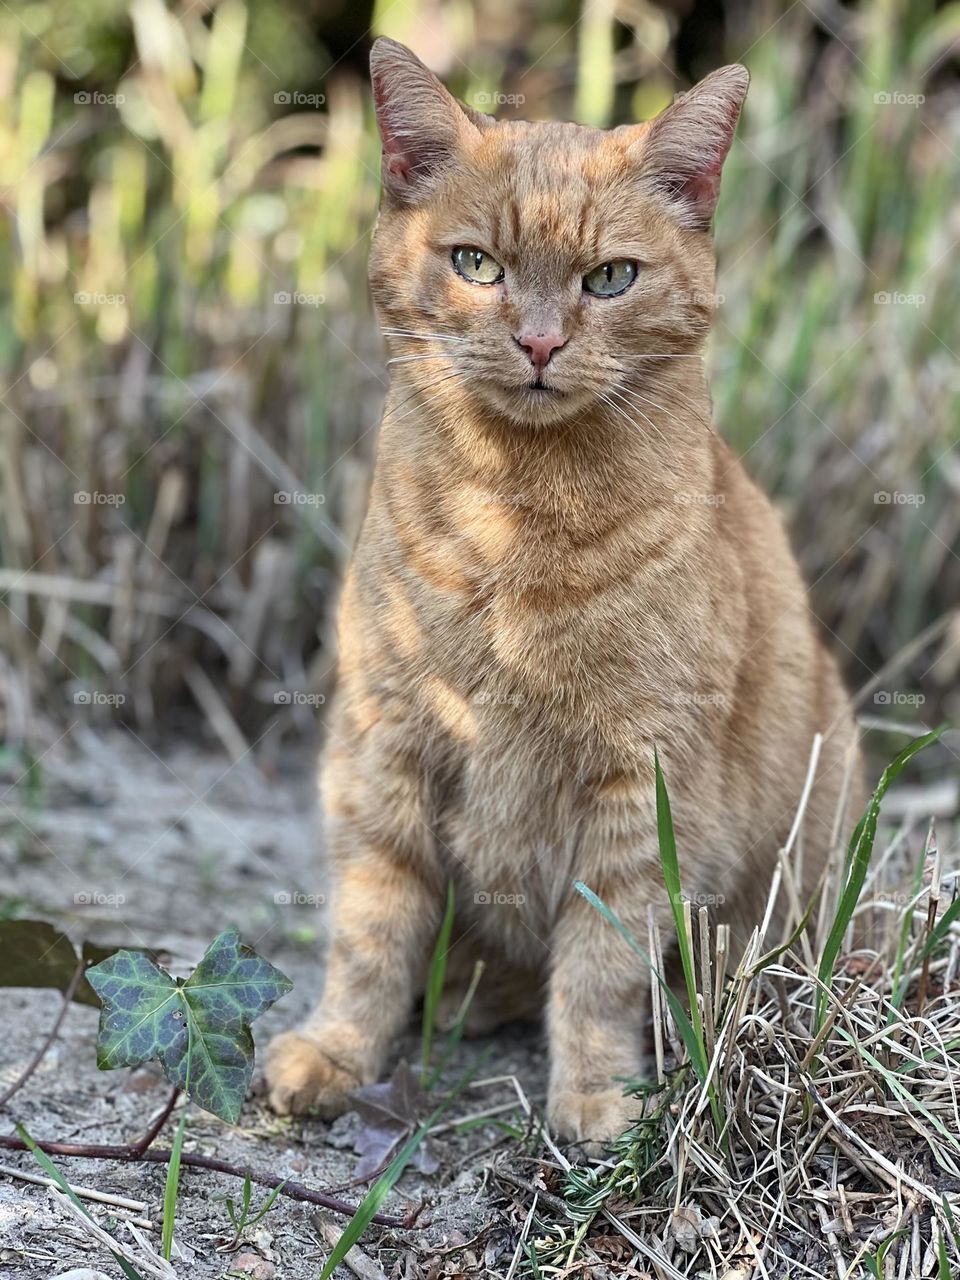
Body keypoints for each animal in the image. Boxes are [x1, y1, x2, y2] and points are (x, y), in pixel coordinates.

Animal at [264, 40, 865, 1146]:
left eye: (610, 278)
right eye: (476, 265)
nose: (541, 343)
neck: (515, 520)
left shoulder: (643, 789)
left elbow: (599, 964)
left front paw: (596, 1099)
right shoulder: (383, 748)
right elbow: (370, 930)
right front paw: (338, 1051)